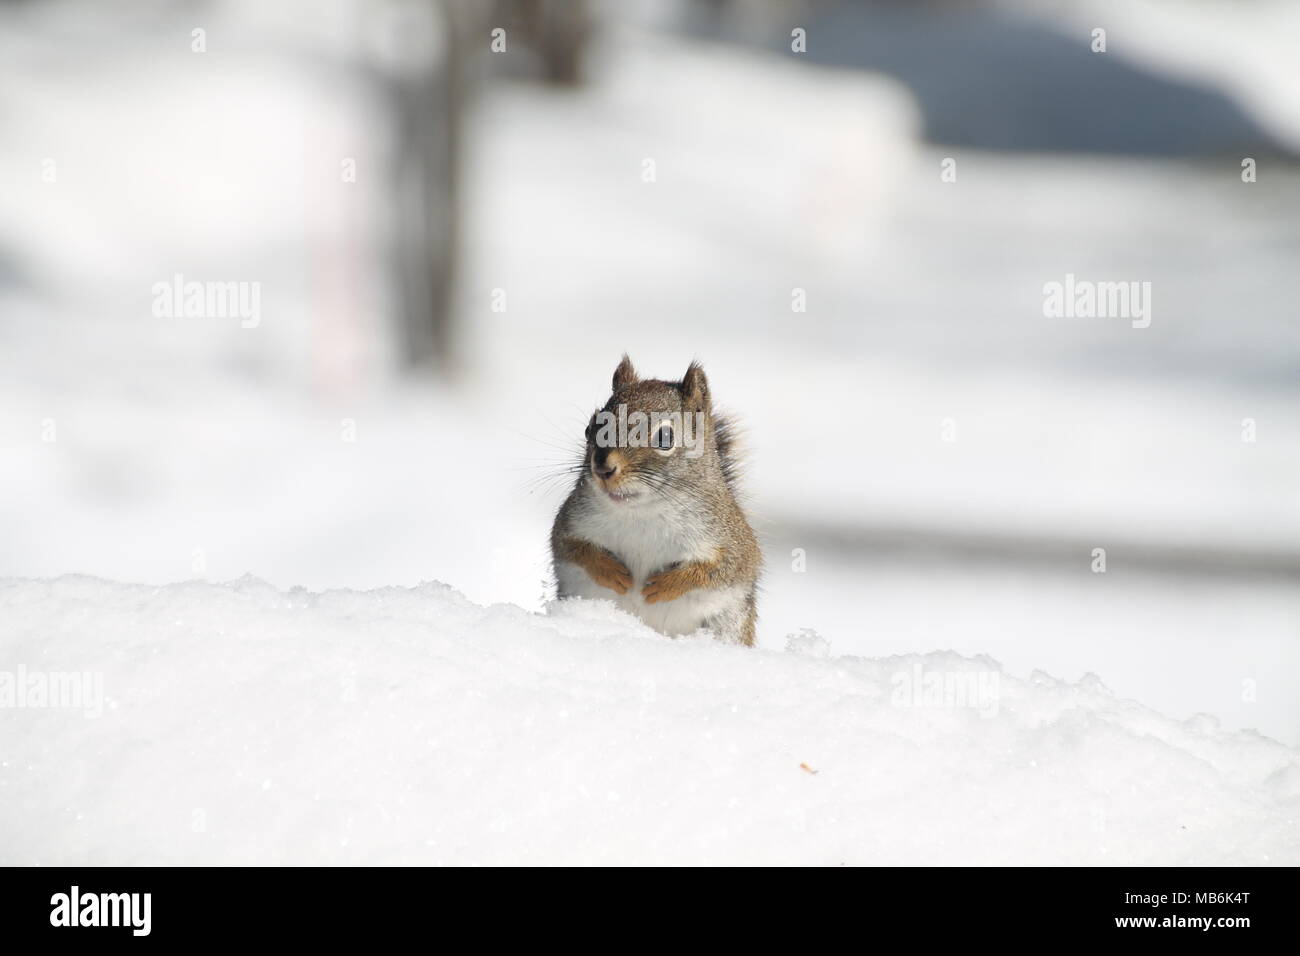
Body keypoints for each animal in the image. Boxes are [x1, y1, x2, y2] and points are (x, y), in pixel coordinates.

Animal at [548, 356, 759, 647]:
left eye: (665, 437)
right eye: (590, 427)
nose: (602, 468)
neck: (641, 511)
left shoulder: (730, 542)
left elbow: (718, 569)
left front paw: (663, 585)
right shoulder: (571, 523)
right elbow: (573, 548)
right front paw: (613, 572)